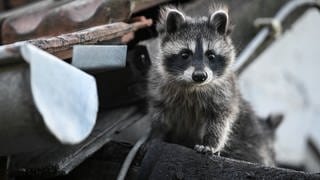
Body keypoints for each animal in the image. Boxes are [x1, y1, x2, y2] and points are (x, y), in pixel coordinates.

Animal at [147, 5, 278, 166]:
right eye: (185, 54)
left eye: (211, 55)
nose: (199, 76)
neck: (194, 87)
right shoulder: (159, 88)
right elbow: (160, 115)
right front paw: (156, 135)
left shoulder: (225, 93)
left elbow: (219, 121)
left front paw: (210, 143)